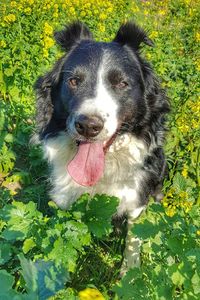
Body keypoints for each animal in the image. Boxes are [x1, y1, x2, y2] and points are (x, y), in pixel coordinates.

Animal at [35, 21, 170, 270]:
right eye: (73, 81)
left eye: (122, 84)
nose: (88, 126)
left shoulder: (137, 194)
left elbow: (134, 237)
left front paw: (130, 273)